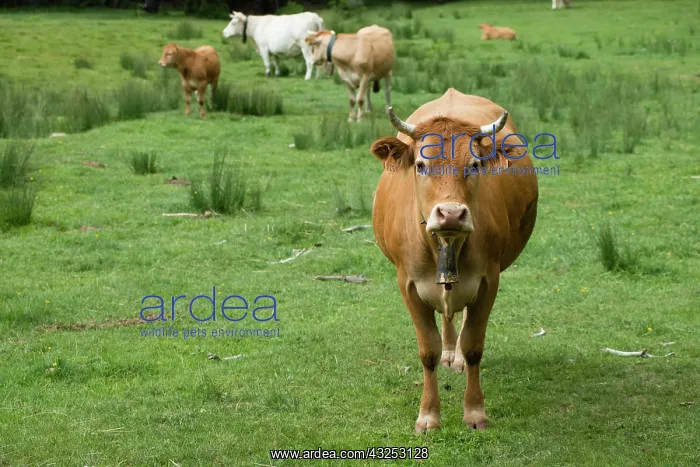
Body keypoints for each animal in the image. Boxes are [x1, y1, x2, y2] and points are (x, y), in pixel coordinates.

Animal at [369, 88, 539, 432]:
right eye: (421, 165)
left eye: (474, 165)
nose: (450, 213)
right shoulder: (408, 285)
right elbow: (428, 350)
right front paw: (428, 415)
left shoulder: (488, 282)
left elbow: (474, 346)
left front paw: (474, 412)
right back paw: (449, 352)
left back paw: (456, 355)